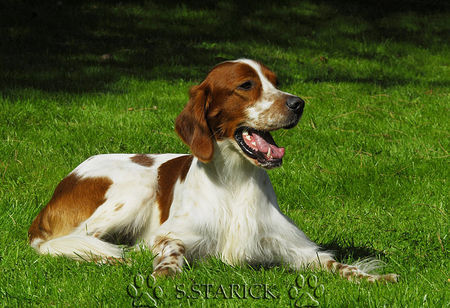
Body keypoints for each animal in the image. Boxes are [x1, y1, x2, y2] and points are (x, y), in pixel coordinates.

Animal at [28, 59, 398, 282]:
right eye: (246, 85)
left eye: (275, 82)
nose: (299, 104)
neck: (235, 180)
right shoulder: (174, 234)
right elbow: (170, 249)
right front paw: (164, 272)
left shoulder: (292, 246)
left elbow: (335, 263)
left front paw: (375, 278)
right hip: (136, 189)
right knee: (62, 241)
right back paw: (110, 257)